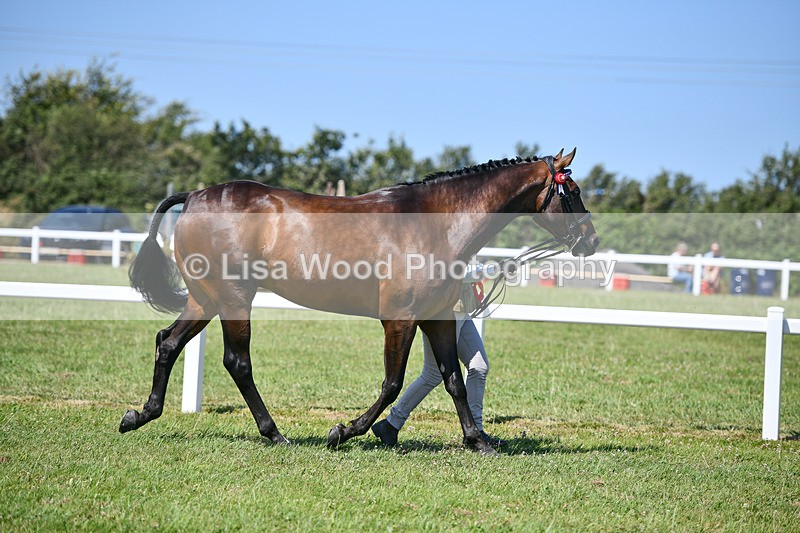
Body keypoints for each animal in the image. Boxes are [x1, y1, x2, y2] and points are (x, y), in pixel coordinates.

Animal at [120, 148, 599, 454]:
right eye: (572, 191)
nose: (591, 241)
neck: (437, 225)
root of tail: (195, 196)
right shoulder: (400, 320)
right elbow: (392, 384)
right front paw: (344, 431)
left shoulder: (438, 317)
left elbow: (453, 379)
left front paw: (477, 440)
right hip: (234, 298)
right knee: (237, 362)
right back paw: (275, 434)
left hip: (206, 300)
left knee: (168, 342)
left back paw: (140, 415)